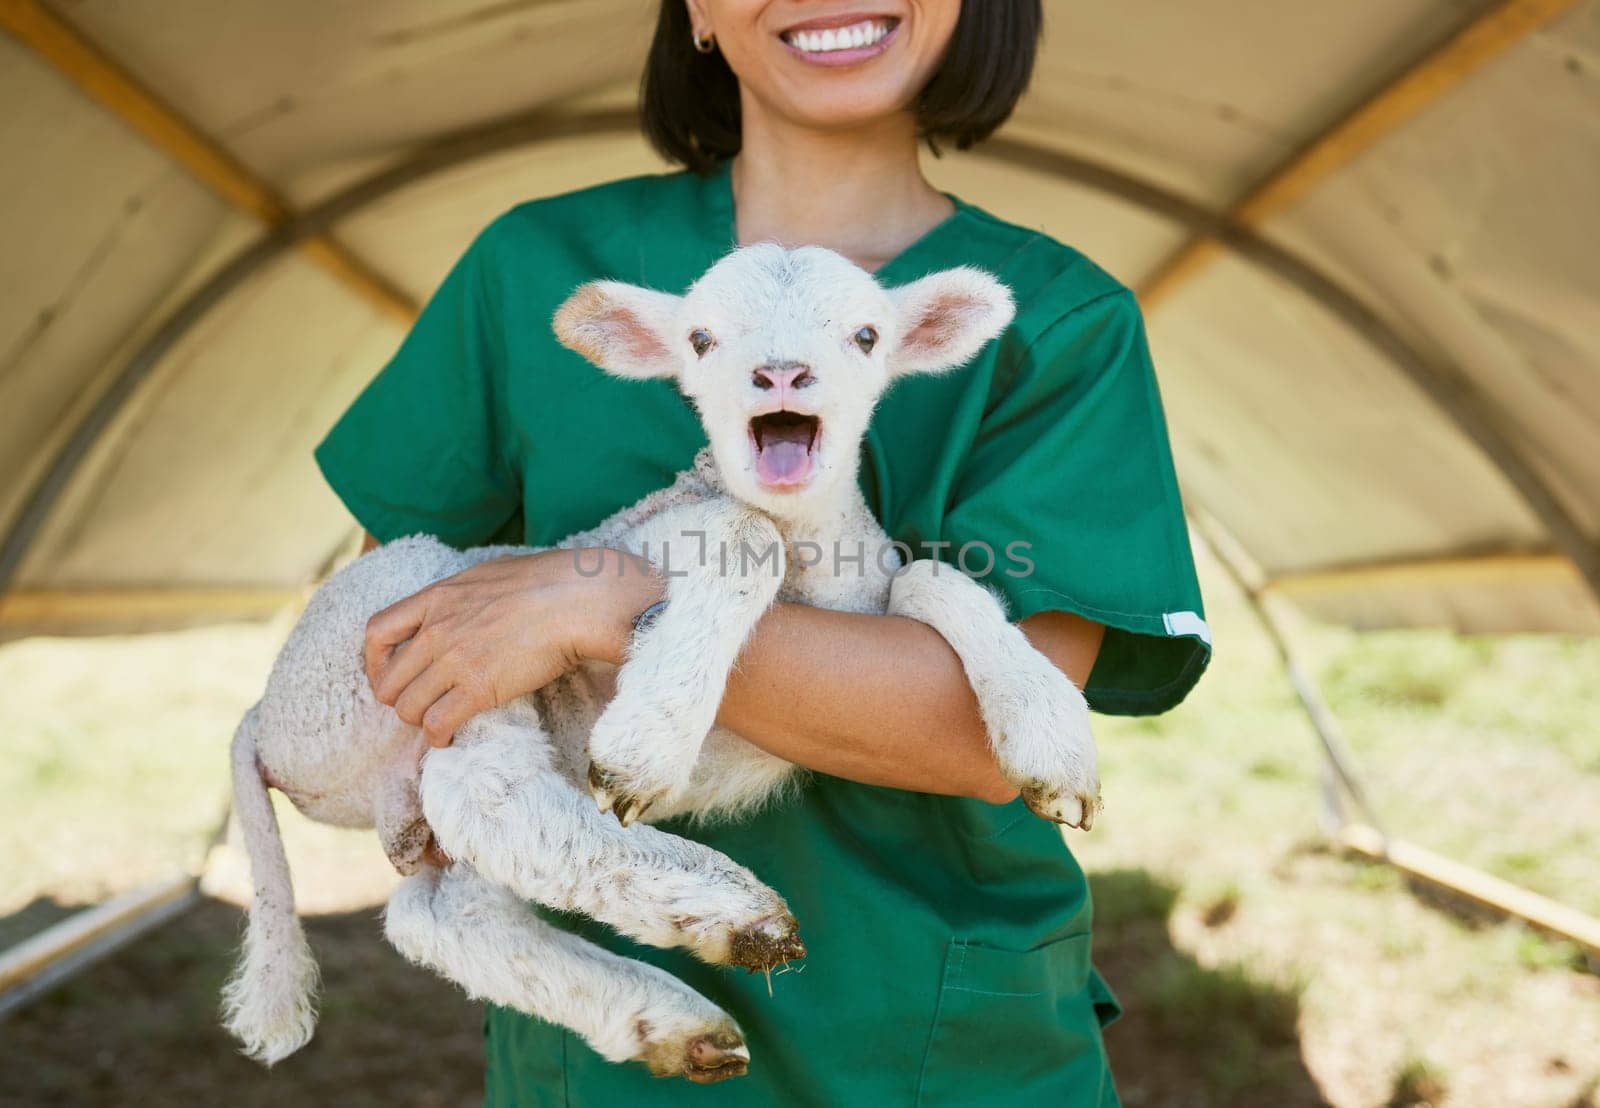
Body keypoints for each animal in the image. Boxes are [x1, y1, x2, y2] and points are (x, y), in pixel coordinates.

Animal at [222, 241, 1100, 1082]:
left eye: (866, 335)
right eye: (701, 339)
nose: (780, 373)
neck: (819, 566)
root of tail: (262, 717)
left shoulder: (879, 600)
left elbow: (936, 577)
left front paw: (1053, 742)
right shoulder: (636, 543)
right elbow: (744, 536)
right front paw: (649, 743)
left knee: (445, 910)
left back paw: (673, 1018)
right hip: (410, 636)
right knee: (490, 797)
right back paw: (730, 909)